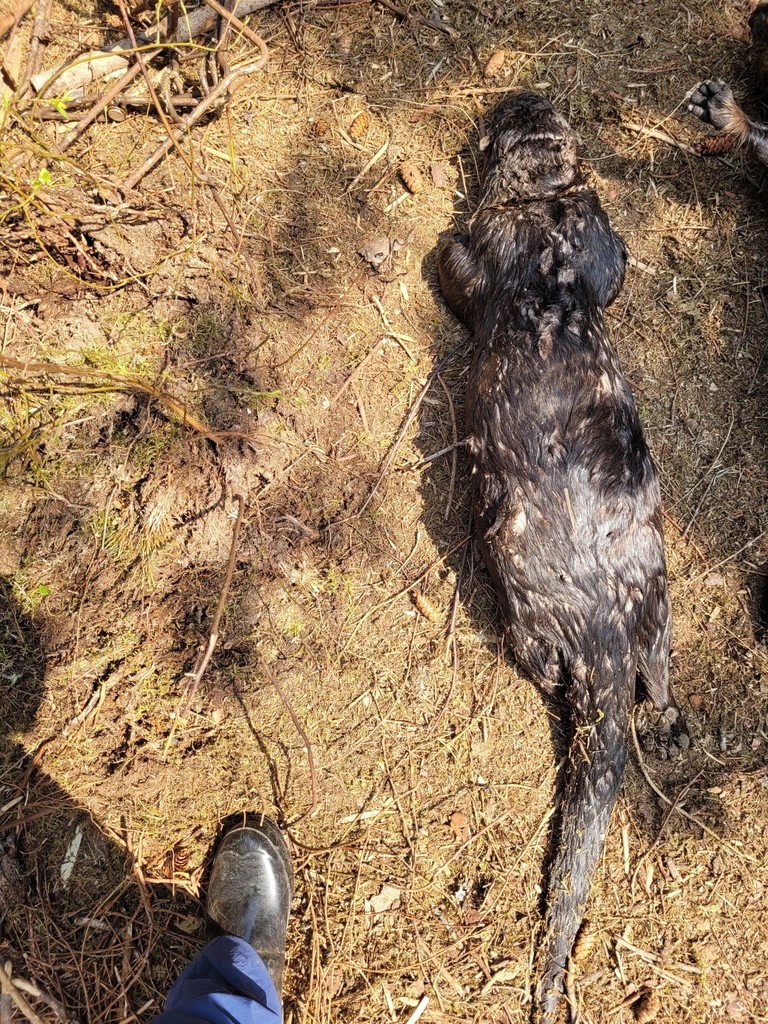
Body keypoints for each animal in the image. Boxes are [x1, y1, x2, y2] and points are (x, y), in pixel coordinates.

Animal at [438, 92, 692, 1019]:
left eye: (508, 114)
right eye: (533, 108)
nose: (524, 94)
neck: (545, 210)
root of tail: (601, 626)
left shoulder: (482, 239)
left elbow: (456, 263)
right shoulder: (596, 232)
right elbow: (613, 268)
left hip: (528, 619)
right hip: (655, 581)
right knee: (659, 667)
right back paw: (668, 722)